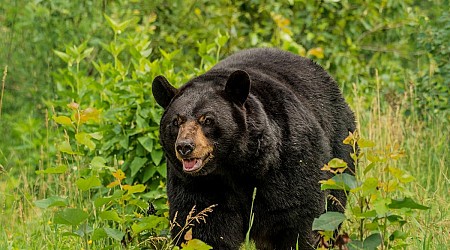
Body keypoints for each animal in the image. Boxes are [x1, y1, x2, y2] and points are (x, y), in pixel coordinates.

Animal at [153, 47, 356, 249]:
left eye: (208, 120)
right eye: (176, 122)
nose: (185, 147)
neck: (234, 167)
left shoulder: (288, 162)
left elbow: (298, 216)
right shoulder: (197, 184)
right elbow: (202, 226)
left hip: (340, 149)